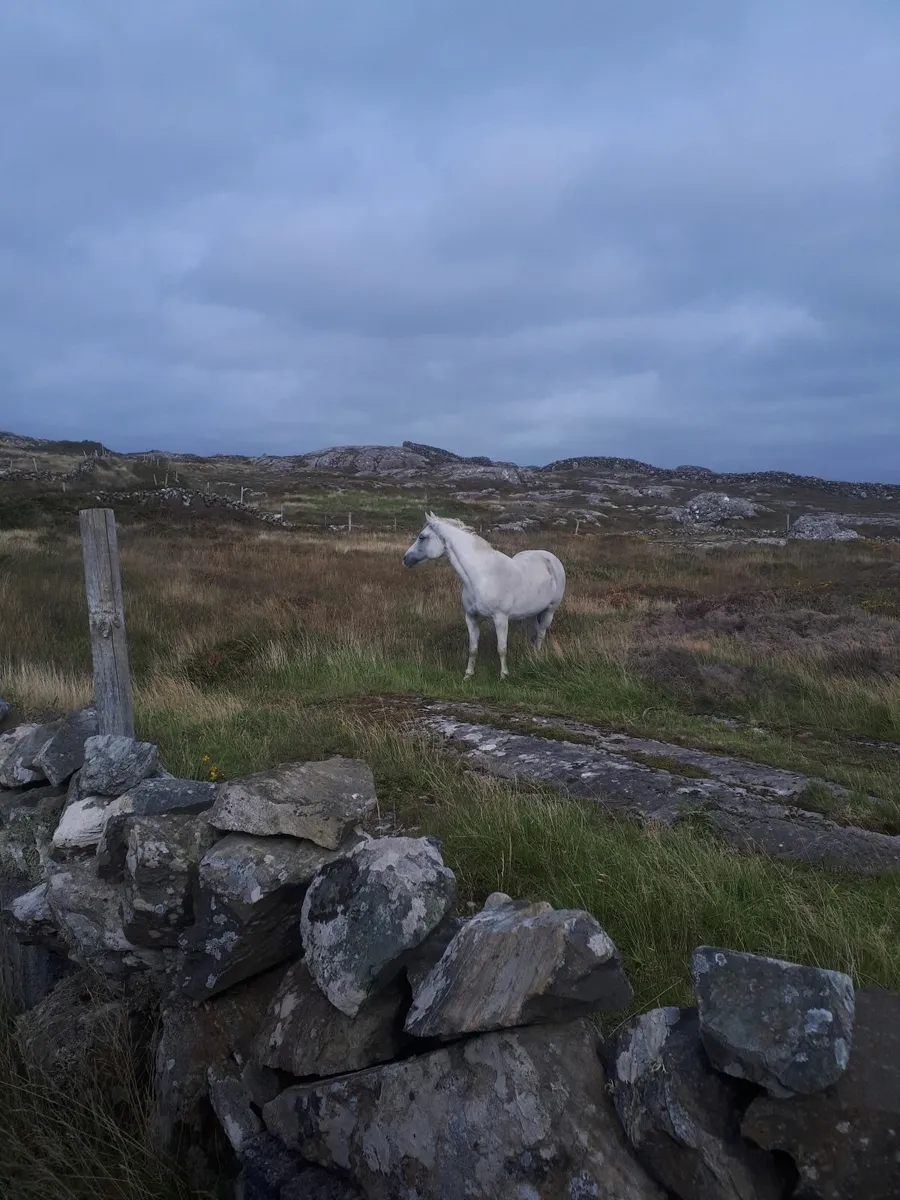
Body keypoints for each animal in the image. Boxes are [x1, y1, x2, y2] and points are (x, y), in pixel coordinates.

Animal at [403, 513, 566, 680]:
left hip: (549, 611)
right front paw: (468, 675)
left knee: (540, 634)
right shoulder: (471, 618)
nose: (405, 558)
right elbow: (473, 648)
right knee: (534, 633)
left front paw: (503, 675)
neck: (481, 576)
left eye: (422, 537)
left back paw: (537, 657)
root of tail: (550, 558)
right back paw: (531, 656)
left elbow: (501, 648)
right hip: (531, 614)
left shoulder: (501, 618)